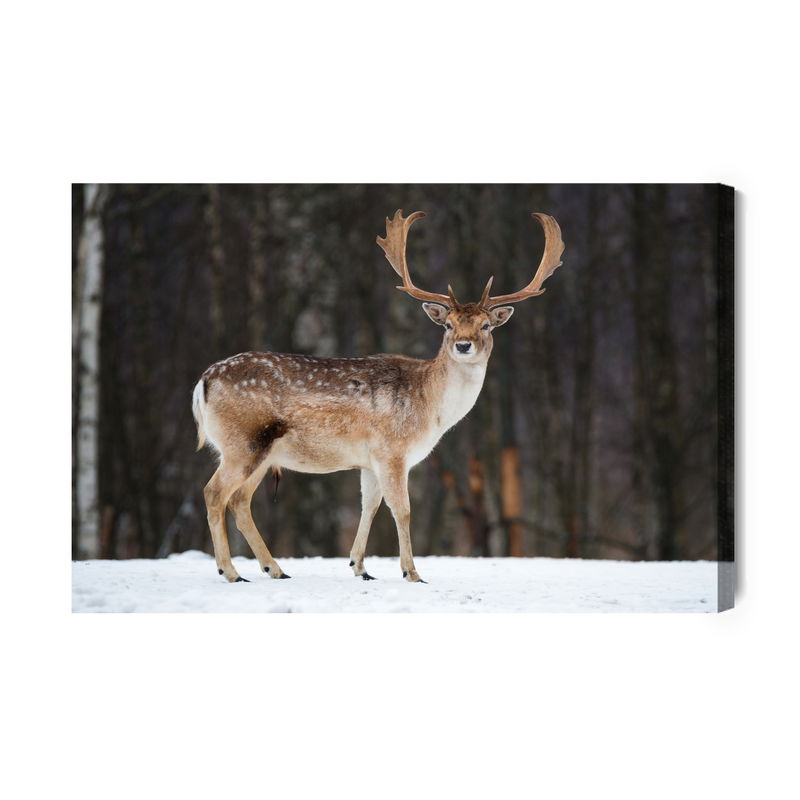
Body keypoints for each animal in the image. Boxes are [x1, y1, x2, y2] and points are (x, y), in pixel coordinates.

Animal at [192, 210, 564, 583]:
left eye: (486, 325)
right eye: (448, 325)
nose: (463, 344)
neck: (431, 409)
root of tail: (203, 382)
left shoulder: (369, 460)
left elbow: (369, 505)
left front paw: (360, 567)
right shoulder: (392, 450)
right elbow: (402, 509)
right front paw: (412, 572)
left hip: (262, 452)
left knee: (239, 500)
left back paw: (275, 569)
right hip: (243, 442)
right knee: (214, 493)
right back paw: (231, 571)